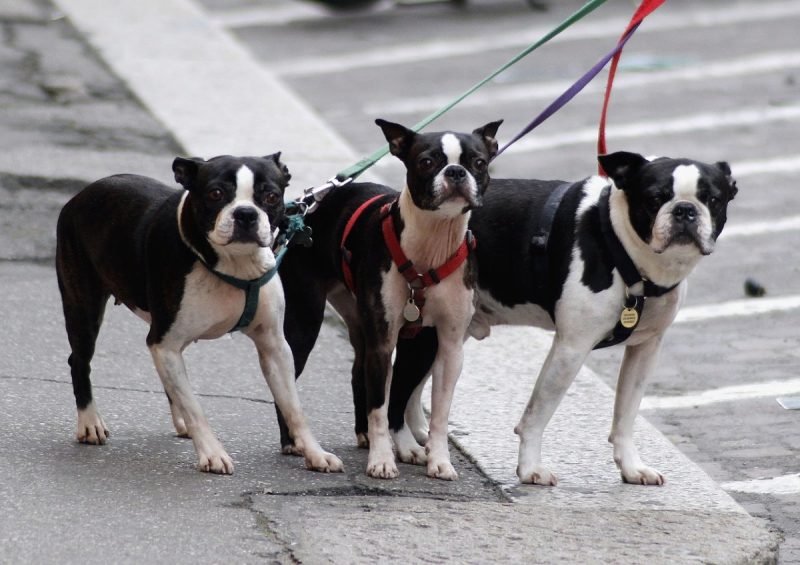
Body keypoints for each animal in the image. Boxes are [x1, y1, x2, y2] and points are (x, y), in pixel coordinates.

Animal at [54, 152, 342, 474]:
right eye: (215, 194)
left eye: (270, 196)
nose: (245, 213)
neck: (235, 264)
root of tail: (81, 195)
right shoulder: (165, 344)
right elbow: (196, 407)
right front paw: (212, 453)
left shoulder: (275, 348)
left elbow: (293, 406)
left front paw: (315, 453)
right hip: (84, 307)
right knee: (79, 360)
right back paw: (90, 423)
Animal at [384, 151, 740, 484]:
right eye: (654, 199)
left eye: (713, 199)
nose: (685, 210)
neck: (620, 246)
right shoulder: (571, 349)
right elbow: (538, 413)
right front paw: (530, 469)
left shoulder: (645, 350)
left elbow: (626, 414)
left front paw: (632, 467)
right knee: (399, 390)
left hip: (449, 333)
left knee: (416, 388)